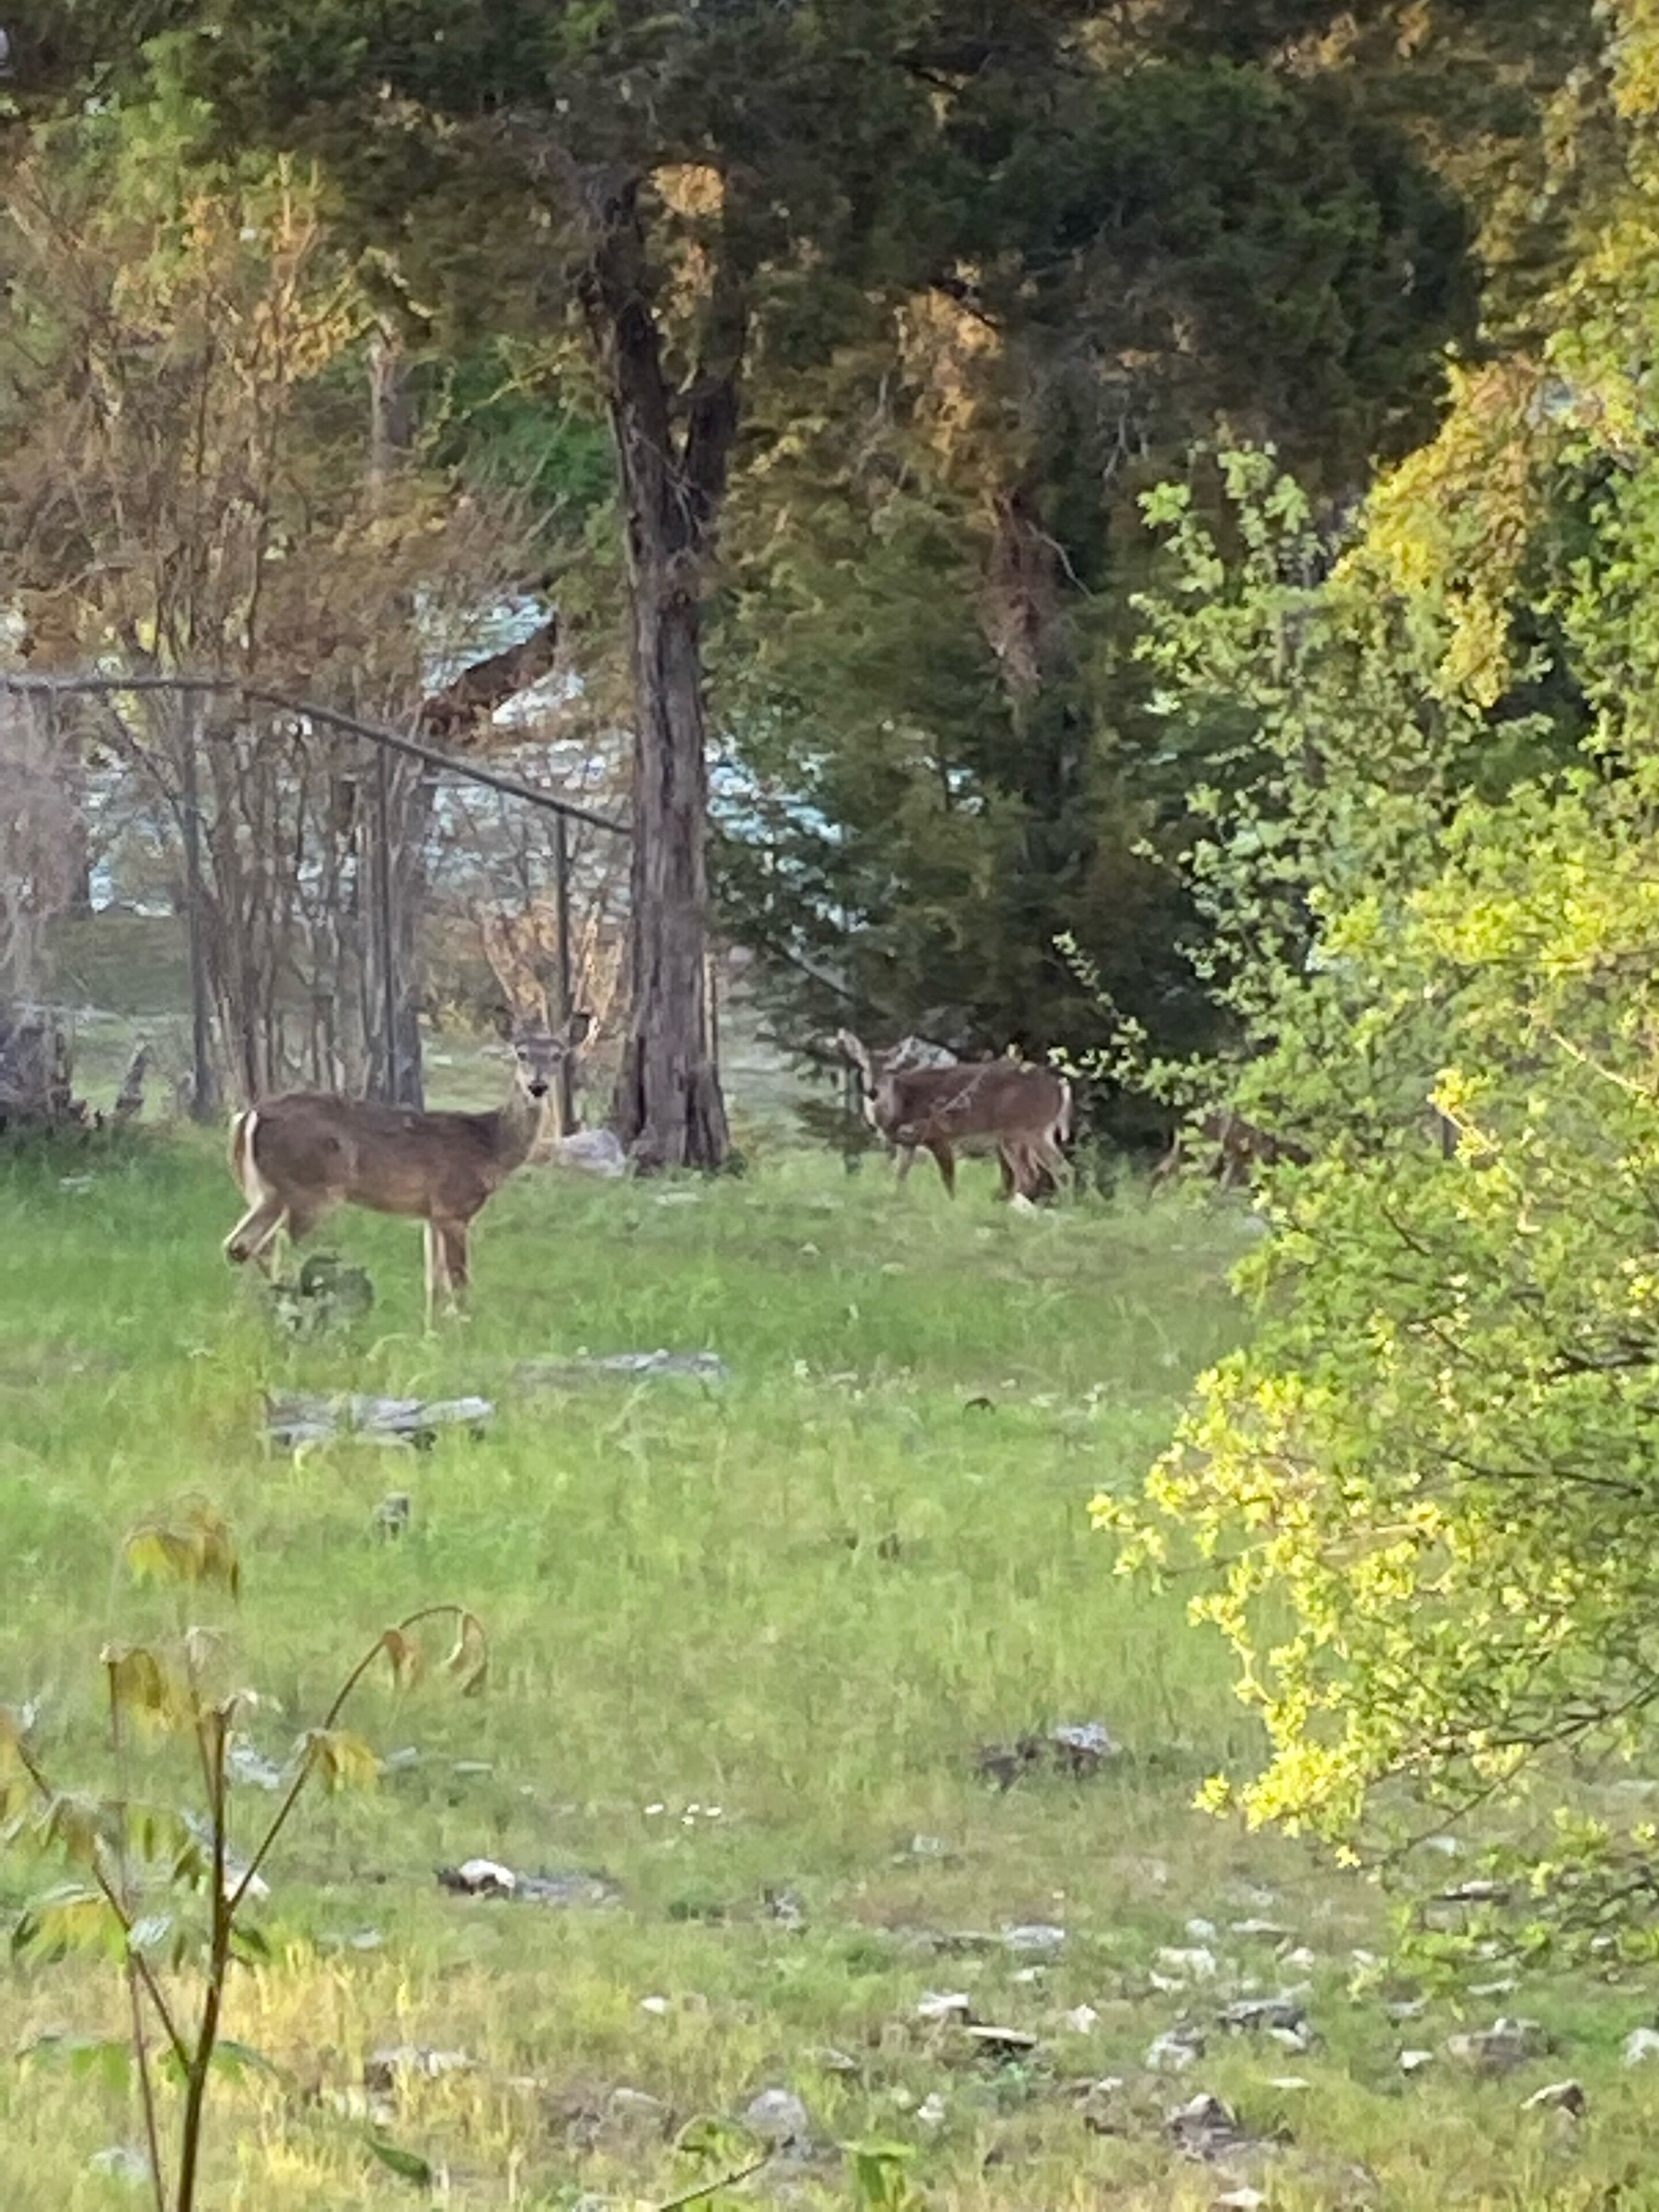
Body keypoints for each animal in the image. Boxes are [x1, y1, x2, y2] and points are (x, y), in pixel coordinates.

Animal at [222, 1010, 592, 1322]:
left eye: (558, 1055)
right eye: (521, 1053)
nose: (538, 1086)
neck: (491, 1147)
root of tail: (250, 1115)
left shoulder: (431, 1214)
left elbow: (433, 1283)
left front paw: (431, 1332)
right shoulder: (453, 1207)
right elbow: (458, 1280)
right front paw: (465, 1329)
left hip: (268, 1192)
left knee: (244, 1246)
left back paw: (250, 1316)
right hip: (310, 1190)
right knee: (285, 1250)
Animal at [836, 1030, 1072, 1203]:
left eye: (892, 1069)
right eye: (864, 1066)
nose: (873, 1092)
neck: (900, 1108)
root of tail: (1060, 1086)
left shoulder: (938, 1135)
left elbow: (948, 1178)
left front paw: (952, 1205)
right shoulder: (907, 1144)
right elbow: (899, 1177)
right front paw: (897, 1202)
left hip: (1020, 1130)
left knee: (1033, 1173)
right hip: (1036, 1132)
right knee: (1056, 1170)